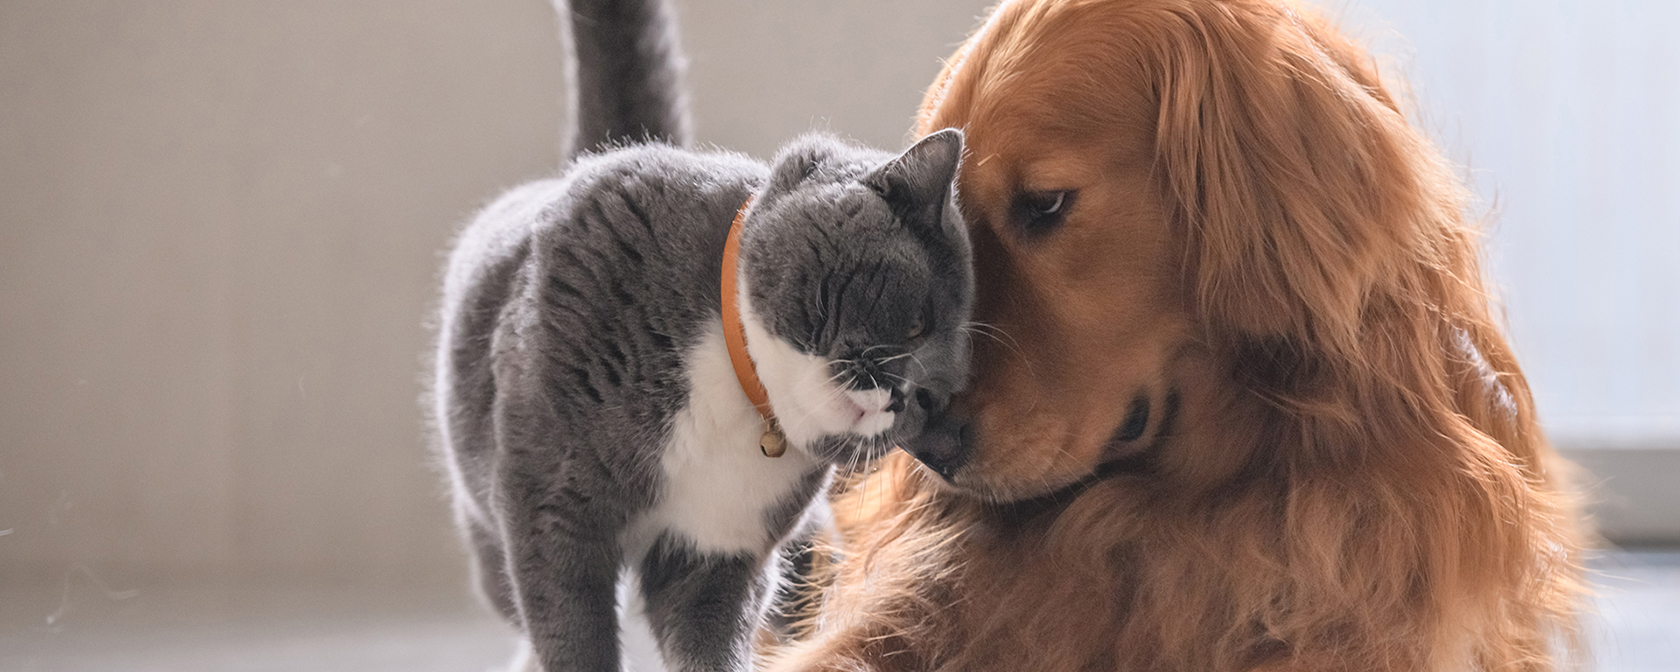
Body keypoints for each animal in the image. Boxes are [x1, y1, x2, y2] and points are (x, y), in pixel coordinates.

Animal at [430, 1, 974, 665]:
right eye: (918, 322)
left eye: (932, 397)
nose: (903, 397)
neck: (735, 393)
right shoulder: (551, 507)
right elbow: (570, 624)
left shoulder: (719, 550)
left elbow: (708, 632)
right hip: (489, 524)